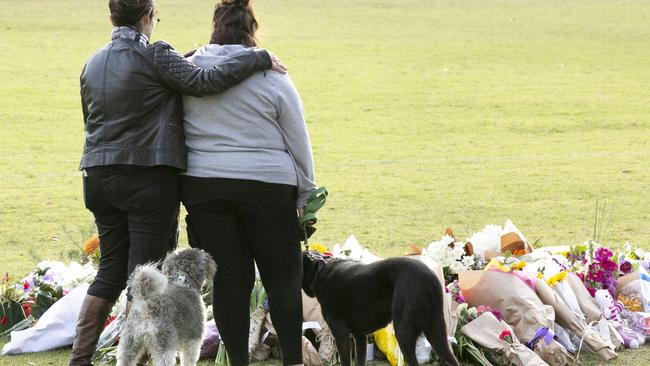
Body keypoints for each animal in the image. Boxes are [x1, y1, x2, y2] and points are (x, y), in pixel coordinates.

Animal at [302, 252, 458, 366]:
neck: (321, 269)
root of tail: (429, 278)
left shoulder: (341, 334)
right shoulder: (360, 336)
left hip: (404, 333)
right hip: (437, 332)